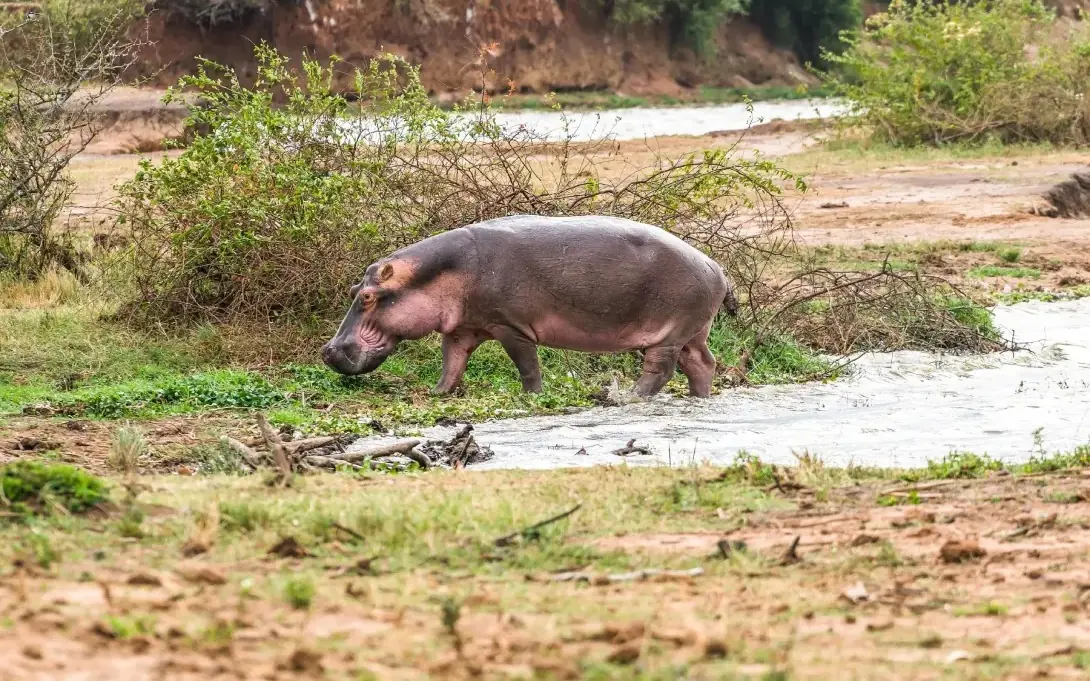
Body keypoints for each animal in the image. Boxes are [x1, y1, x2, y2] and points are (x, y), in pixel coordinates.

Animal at [321, 215, 738, 398]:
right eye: (355, 287)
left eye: (367, 296)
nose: (328, 350)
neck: (440, 273)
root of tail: (716, 265)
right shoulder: (461, 328)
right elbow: (451, 364)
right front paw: (437, 393)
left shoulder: (511, 326)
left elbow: (526, 364)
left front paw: (532, 396)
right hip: (693, 331)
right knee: (702, 364)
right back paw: (698, 397)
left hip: (670, 332)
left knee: (661, 369)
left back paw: (627, 397)